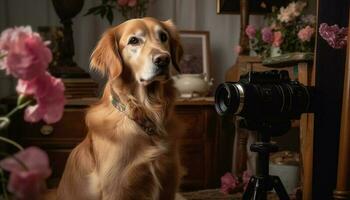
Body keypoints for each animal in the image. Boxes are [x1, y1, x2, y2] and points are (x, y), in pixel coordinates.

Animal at [56, 17, 185, 200]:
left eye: (163, 37)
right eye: (134, 41)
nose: (163, 59)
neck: (147, 112)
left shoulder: (169, 182)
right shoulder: (117, 188)